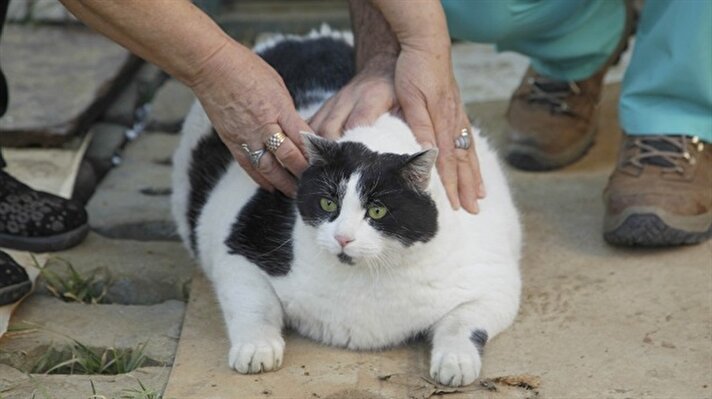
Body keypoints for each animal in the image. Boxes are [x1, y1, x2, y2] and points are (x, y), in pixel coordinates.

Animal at [170, 25, 520, 388]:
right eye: (328, 203)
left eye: (377, 211)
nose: (342, 238)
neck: (366, 280)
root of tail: (310, 37)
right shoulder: (239, 251)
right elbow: (255, 306)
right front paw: (257, 348)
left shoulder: (495, 281)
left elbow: (462, 324)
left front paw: (456, 360)